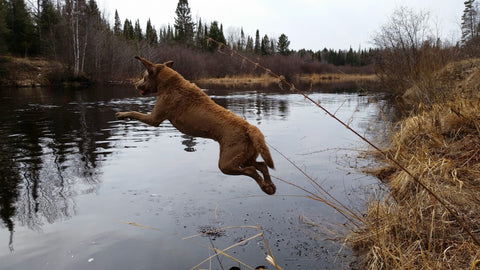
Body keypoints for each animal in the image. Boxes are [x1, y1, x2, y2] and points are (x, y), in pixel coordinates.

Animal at [114, 57, 276, 195]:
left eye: (143, 76)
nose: (135, 84)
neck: (170, 84)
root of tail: (250, 128)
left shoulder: (154, 119)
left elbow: (135, 112)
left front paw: (122, 114)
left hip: (227, 162)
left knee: (252, 170)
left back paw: (265, 186)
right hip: (245, 156)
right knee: (262, 165)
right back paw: (270, 186)